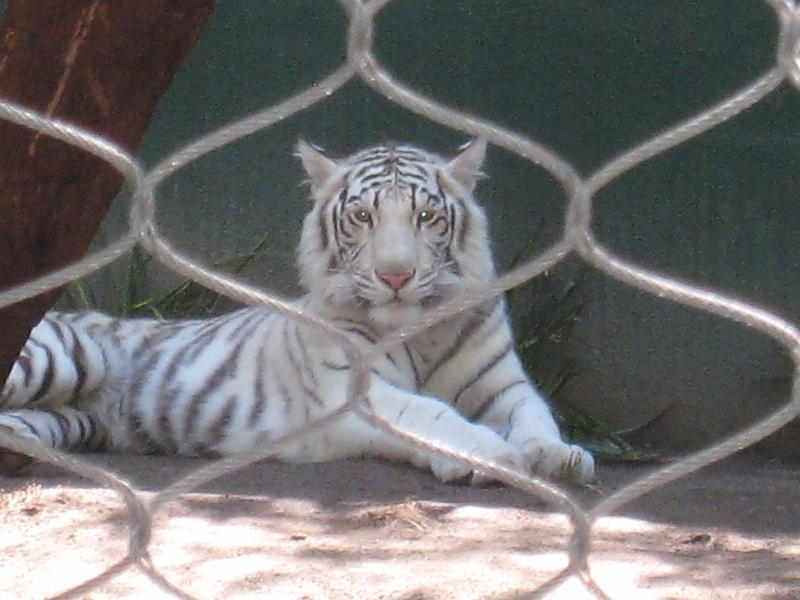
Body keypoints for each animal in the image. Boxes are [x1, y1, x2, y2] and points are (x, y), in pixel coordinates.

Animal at [0, 139, 594, 484]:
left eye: (426, 217)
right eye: (362, 216)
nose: (396, 276)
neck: (417, 331)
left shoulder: (504, 387)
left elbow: (535, 416)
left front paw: (557, 455)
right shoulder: (350, 393)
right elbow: (429, 413)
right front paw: (487, 455)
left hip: (70, 418)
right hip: (65, 358)